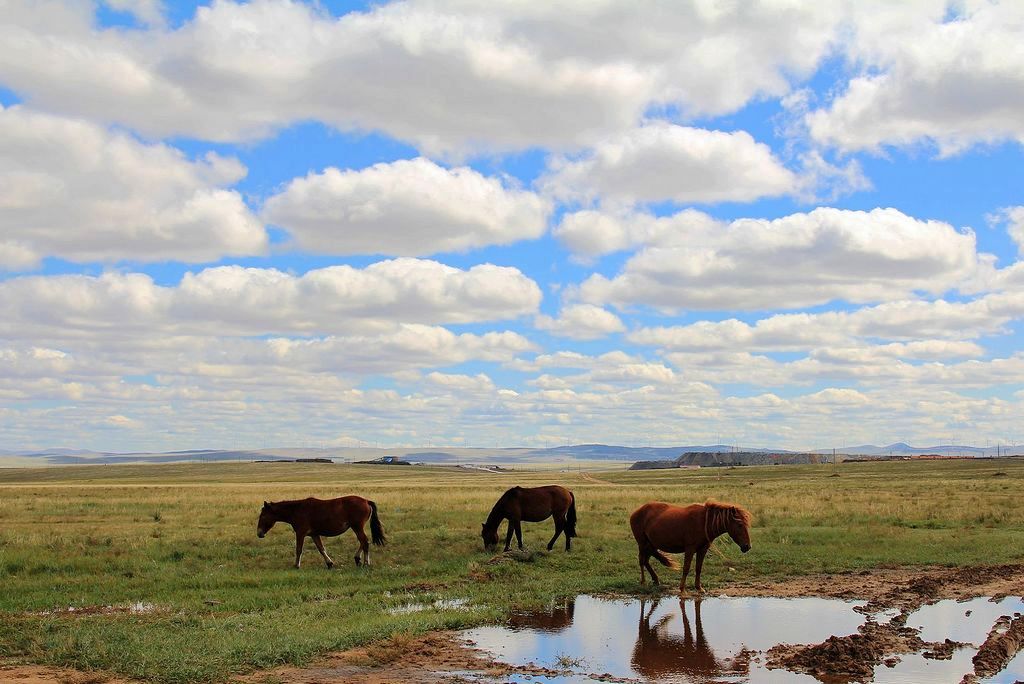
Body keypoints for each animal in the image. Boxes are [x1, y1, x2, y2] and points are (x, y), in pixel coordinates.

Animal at [254, 493, 385, 569]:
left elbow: (298, 549)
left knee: (364, 542)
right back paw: (357, 559)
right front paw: (329, 563)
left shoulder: (300, 533)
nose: (259, 533)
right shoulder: (314, 534)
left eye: (263, 516)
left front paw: (296, 565)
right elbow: (321, 549)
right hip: (356, 527)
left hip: (357, 527)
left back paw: (366, 562)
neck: (296, 510)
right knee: (363, 542)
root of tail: (366, 501)